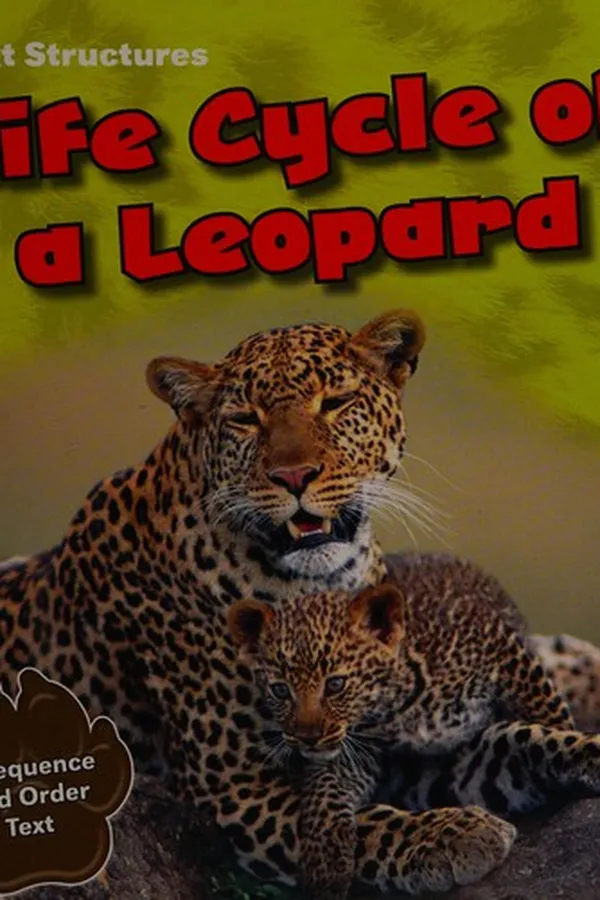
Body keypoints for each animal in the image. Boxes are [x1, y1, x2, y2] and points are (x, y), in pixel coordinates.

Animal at [227, 552, 600, 899]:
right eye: (280, 690)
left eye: (335, 684)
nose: (305, 739)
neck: (395, 708)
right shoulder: (361, 750)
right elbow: (328, 792)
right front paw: (326, 862)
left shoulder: (501, 647)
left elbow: (542, 712)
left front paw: (572, 744)